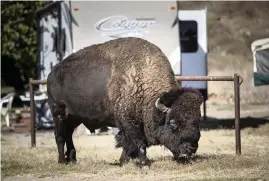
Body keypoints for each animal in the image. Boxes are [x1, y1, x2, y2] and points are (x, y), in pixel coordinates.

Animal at [46, 37, 202, 166]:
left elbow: (128, 144)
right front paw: (144, 162)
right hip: (58, 112)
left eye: (197, 121)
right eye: (173, 123)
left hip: (74, 117)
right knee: (60, 136)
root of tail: (51, 74)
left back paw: (72, 159)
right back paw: (62, 161)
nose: (191, 147)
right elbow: (138, 143)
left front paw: (123, 161)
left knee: (68, 135)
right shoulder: (129, 122)